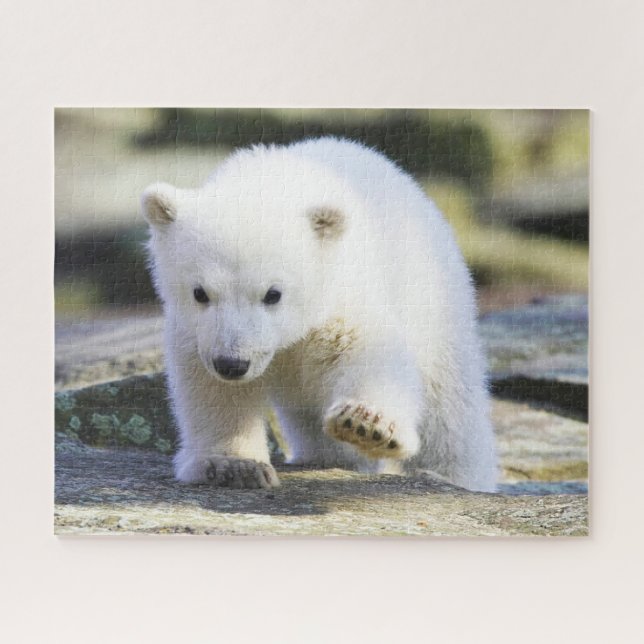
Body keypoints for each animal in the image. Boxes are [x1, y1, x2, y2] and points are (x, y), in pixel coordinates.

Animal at [141, 137, 498, 492]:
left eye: (273, 294)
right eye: (200, 292)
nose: (232, 364)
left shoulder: (341, 292)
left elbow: (367, 350)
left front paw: (366, 424)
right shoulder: (196, 332)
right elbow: (213, 389)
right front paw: (234, 465)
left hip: (435, 301)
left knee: (450, 412)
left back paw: (454, 476)